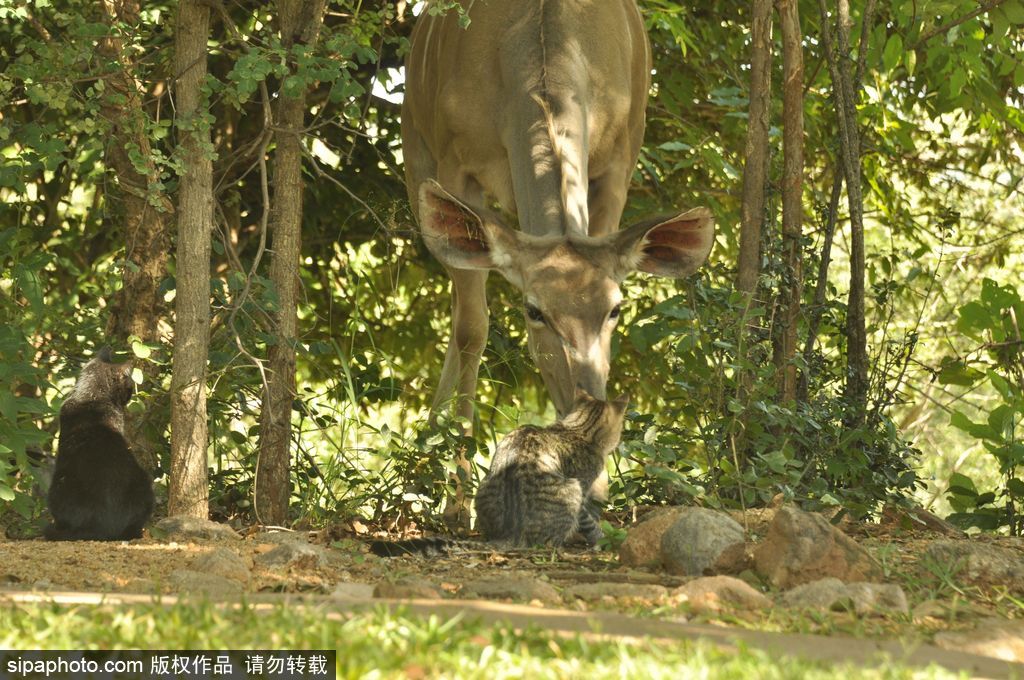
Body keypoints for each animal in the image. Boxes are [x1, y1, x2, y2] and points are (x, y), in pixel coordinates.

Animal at [399, 0, 712, 524]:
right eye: (534, 311)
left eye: (615, 309)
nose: (583, 397)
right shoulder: (453, 165)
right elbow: (471, 329)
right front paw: (455, 502)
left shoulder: (619, 161)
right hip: (414, 152)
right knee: (462, 314)